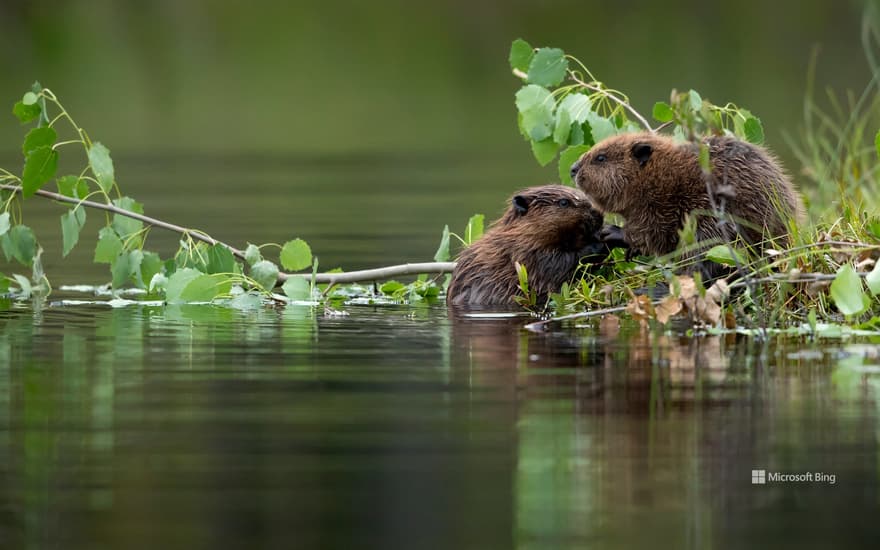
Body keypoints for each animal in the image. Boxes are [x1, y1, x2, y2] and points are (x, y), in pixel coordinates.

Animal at [450, 184, 608, 306]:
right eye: (564, 202)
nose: (598, 214)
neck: (520, 234)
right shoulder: (523, 253)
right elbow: (555, 266)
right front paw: (599, 244)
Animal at [572, 133, 804, 280]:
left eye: (601, 158)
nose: (573, 168)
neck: (660, 173)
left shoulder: (663, 203)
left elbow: (654, 232)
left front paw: (612, 232)